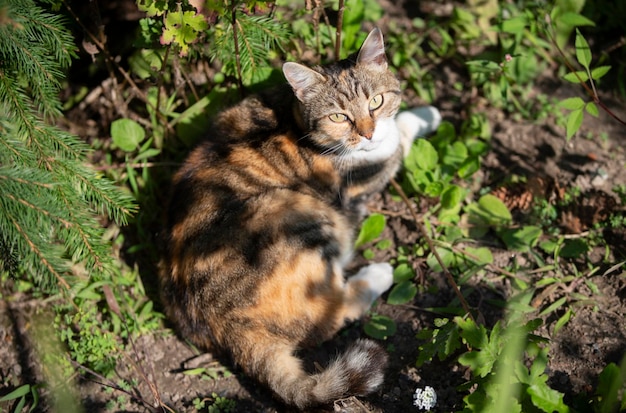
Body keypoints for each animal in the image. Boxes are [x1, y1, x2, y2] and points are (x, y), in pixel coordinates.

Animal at [161, 29, 438, 408]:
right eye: (338, 117)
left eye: (377, 101)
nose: (367, 133)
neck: (295, 119)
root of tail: (223, 327)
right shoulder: (365, 176)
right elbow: (398, 139)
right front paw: (426, 115)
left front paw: (424, 113)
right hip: (296, 212)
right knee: (329, 314)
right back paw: (376, 274)